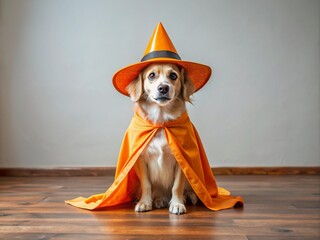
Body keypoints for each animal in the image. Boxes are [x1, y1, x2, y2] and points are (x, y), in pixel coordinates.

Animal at [125, 62, 198, 215]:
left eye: (173, 76)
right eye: (151, 75)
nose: (163, 88)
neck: (161, 122)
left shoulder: (181, 160)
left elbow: (177, 186)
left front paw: (177, 204)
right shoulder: (142, 159)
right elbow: (146, 184)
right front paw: (145, 202)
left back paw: (190, 196)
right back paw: (159, 199)